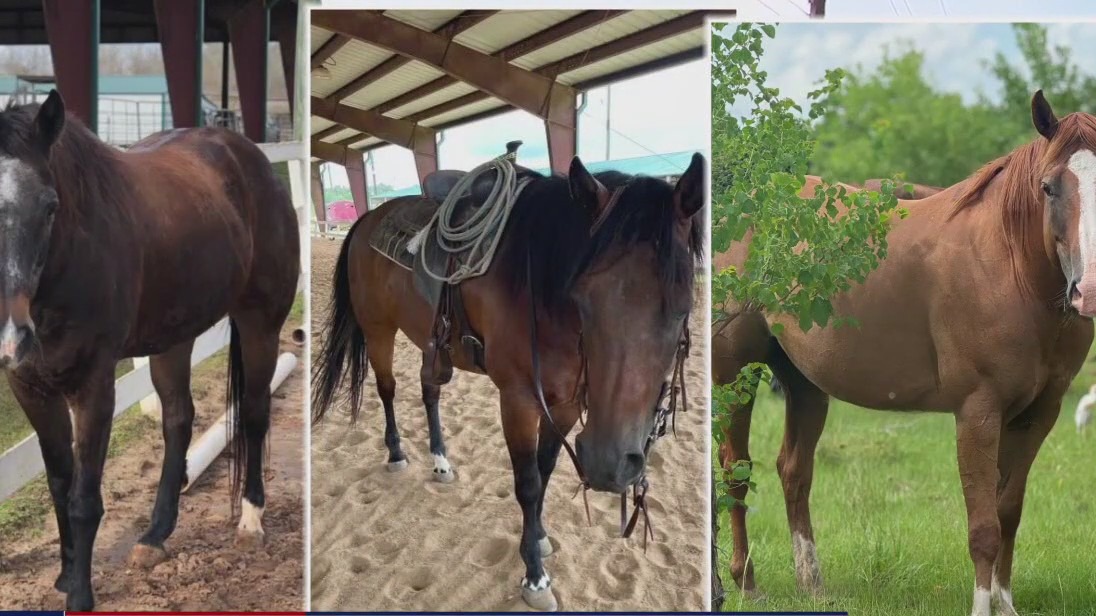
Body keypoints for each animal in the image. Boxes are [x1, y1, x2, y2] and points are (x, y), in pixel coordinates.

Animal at [0, 91, 299, 610]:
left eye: (50, 207)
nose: (10, 336)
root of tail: (252, 158)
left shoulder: (94, 386)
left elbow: (83, 497)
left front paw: (79, 595)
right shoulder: (30, 387)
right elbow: (59, 483)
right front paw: (66, 574)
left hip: (261, 323)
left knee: (255, 413)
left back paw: (250, 520)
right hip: (173, 339)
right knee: (178, 418)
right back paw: (156, 533)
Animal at [313, 154, 704, 611]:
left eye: (683, 307)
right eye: (582, 297)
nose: (609, 465)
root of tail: (366, 219)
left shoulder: (566, 403)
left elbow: (546, 469)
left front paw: (538, 538)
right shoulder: (518, 400)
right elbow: (529, 484)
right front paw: (534, 576)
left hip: (430, 342)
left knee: (429, 390)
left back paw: (440, 461)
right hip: (378, 330)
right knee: (388, 389)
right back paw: (396, 453)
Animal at [714, 91, 1094, 616]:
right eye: (1048, 187)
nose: (1087, 290)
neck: (1009, 266)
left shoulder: (1039, 414)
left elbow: (1009, 512)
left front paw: (1005, 603)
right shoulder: (978, 411)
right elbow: (984, 526)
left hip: (804, 383)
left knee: (794, 471)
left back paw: (812, 583)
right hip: (736, 373)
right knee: (735, 473)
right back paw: (745, 581)